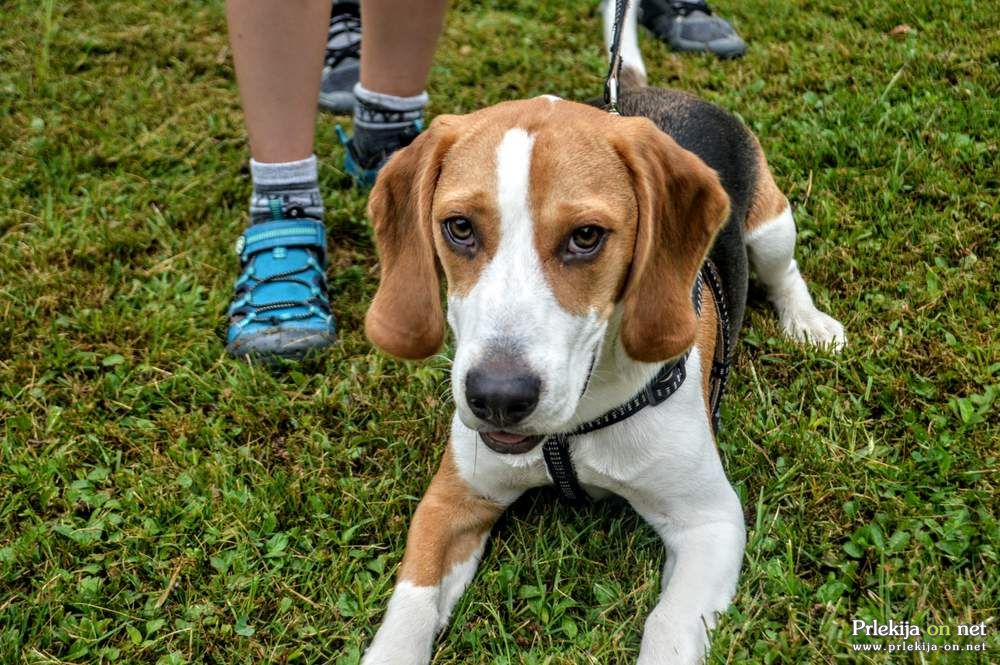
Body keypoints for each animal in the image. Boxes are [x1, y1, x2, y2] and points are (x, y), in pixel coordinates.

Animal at [360, 14, 844, 664]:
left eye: (586, 237)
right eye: (458, 227)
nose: (498, 398)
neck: (569, 434)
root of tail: (646, 96)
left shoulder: (710, 522)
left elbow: (667, 627)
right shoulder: (452, 500)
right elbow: (408, 608)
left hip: (771, 226)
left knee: (785, 272)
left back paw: (809, 323)